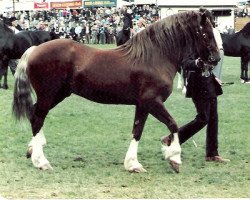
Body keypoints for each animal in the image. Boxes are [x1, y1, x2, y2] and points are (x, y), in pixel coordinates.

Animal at [12, 11, 220, 173]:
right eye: (206, 33)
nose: (216, 58)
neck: (154, 57)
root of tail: (34, 49)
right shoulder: (153, 101)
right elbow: (173, 124)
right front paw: (174, 158)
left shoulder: (143, 104)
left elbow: (137, 130)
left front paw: (133, 164)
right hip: (48, 95)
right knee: (38, 118)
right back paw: (41, 161)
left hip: (58, 95)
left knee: (35, 114)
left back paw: (33, 149)